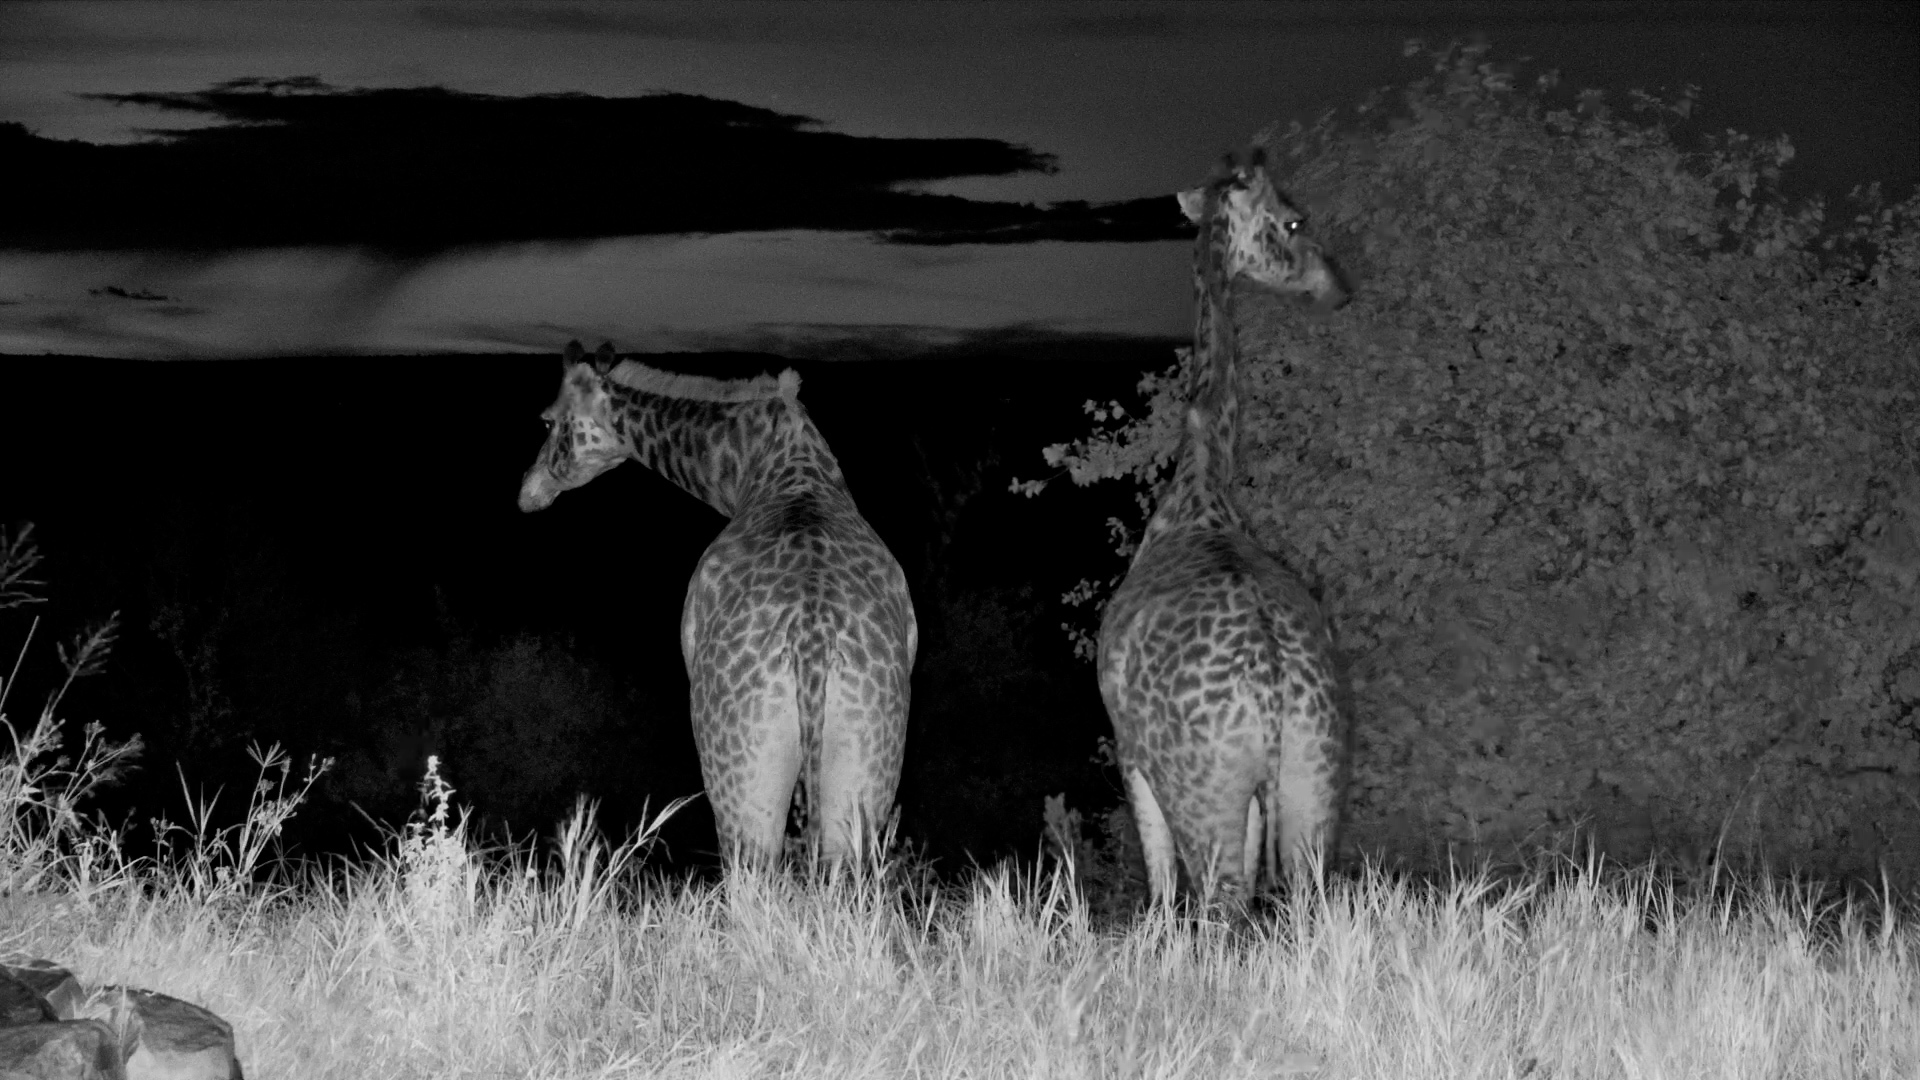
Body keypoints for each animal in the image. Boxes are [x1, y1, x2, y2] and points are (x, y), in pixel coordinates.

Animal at [519, 341, 917, 866]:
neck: (747, 468)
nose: (528, 491)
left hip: (743, 780)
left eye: (546, 421)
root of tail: (813, 641)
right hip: (867, 770)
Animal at [1097, 150, 1349, 905]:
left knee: (1219, 902)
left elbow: (1158, 896)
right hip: (1312, 781)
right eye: (1293, 220)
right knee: (1310, 894)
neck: (1204, 481)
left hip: (1203, 795)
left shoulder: (1131, 758)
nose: (1340, 288)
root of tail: (1271, 687)